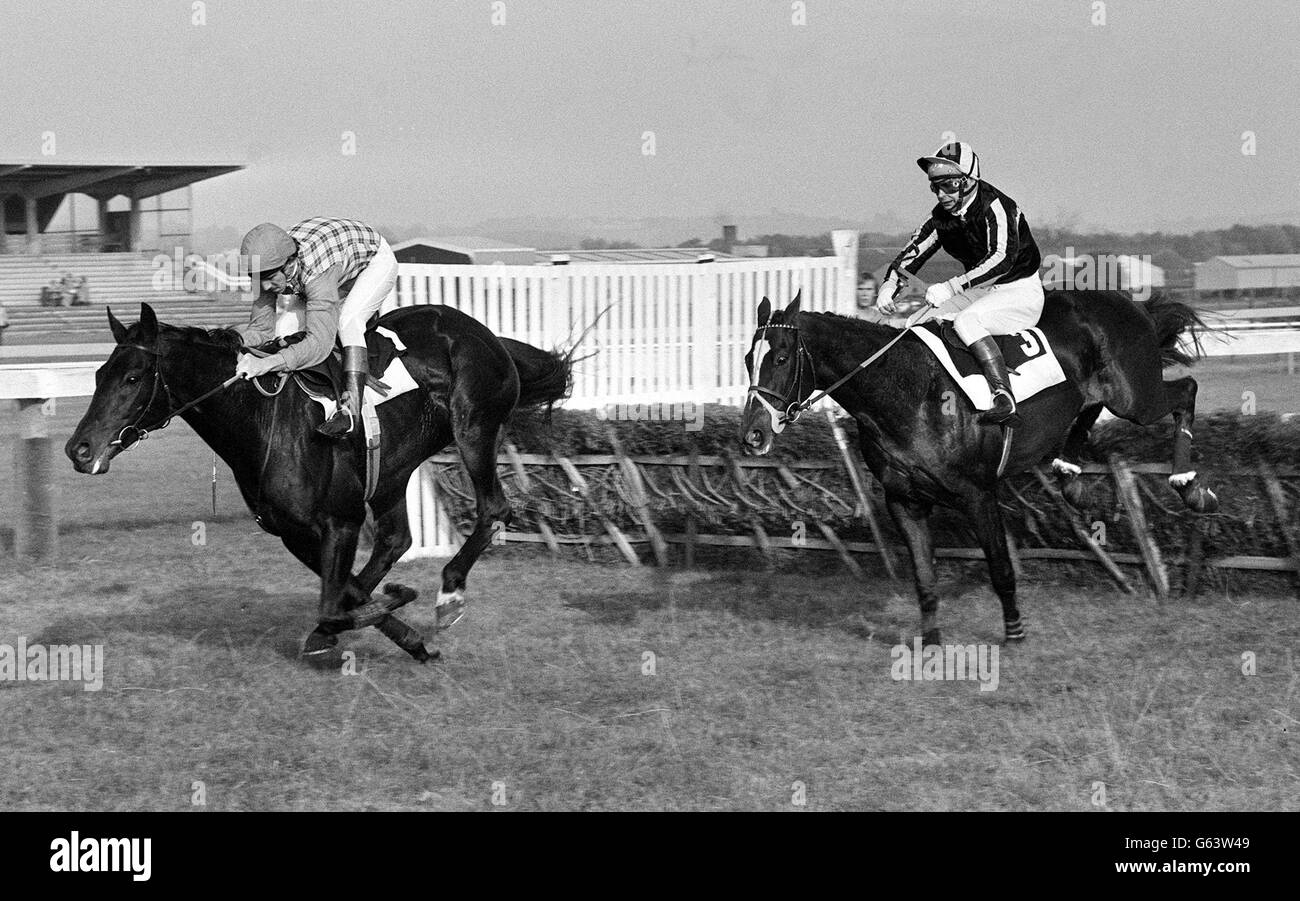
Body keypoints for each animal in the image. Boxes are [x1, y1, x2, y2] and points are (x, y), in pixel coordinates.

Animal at [63, 304, 566, 660]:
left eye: (133, 377)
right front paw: (403, 631)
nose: (78, 450)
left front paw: (399, 601)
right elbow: (340, 596)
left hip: (474, 429)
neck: (263, 418)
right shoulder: (294, 532)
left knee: (493, 509)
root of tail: (486, 335)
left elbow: (333, 603)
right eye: (99, 374)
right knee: (394, 540)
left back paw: (449, 594)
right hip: (394, 469)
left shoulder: (340, 521)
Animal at [743, 291, 1216, 642]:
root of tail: (1132, 305)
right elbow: (924, 578)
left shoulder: (978, 494)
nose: (753, 434)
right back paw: (1069, 474)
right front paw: (931, 643)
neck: (908, 392)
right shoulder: (904, 501)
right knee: (1089, 406)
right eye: (749, 358)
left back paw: (1189, 485)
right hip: (1105, 393)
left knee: (1186, 391)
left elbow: (1000, 569)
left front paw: (1015, 633)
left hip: (1135, 397)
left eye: (781, 358)